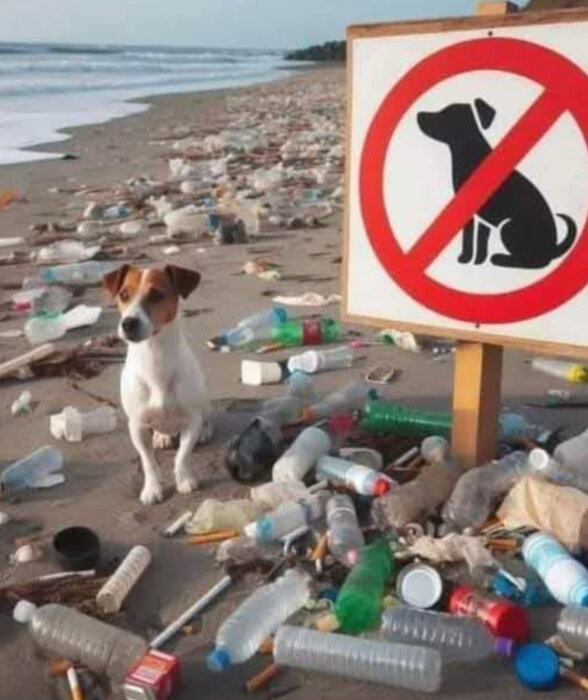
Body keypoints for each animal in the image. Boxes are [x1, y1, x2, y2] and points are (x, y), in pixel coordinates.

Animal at [104, 264, 212, 504]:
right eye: (123, 294)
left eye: (156, 295)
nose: (128, 323)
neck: (155, 359)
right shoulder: (136, 426)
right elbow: (148, 462)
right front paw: (152, 489)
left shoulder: (191, 421)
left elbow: (182, 456)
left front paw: (184, 480)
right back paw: (162, 436)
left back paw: (205, 431)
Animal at [416, 100, 576, 270]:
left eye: (444, 114)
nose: (419, 115)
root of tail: (552, 249)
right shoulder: (483, 218)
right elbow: (481, 241)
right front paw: (478, 261)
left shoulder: (469, 214)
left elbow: (468, 238)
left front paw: (465, 258)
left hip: (507, 227)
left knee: (534, 262)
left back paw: (501, 258)